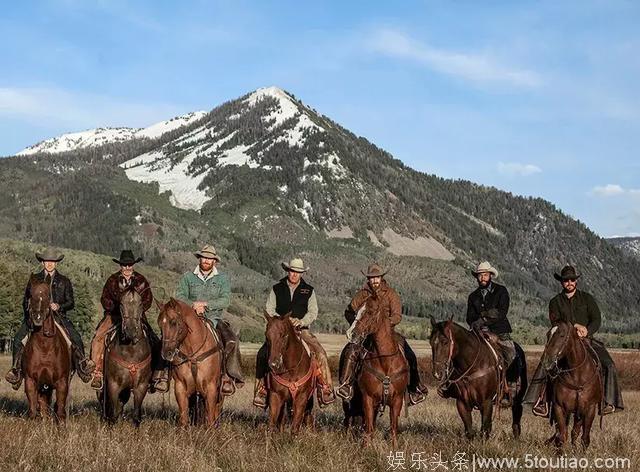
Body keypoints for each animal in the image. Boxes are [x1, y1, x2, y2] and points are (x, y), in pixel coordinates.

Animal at [22, 274, 72, 422]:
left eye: (48, 295)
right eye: (31, 295)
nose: (37, 318)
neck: (44, 347)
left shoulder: (62, 383)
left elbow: (60, 410)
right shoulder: (30, 381)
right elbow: (33, 410)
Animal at [101, 286, 154, 426]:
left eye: (140, 304)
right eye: (121, 304)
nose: (130, 331)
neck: (131, 352)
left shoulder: (141, 387)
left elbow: (136, 416)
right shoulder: (113, 385)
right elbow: (112, 415)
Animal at [156, 298, 224, 428]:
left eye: (174, 322)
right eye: (160, 324)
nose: (166, 353)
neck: (193, 354)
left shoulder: (211, 388)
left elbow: (210, 418)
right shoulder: (180, 387)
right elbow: (184, 418)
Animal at [342, 302, 408, 446]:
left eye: (370, 312)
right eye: (356, 312)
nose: (351, 333)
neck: (385, 361)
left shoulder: (397, 400)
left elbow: (393, 427)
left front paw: (394, 447)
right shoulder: (368, 398)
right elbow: (369, 426)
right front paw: (366, 447)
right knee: (349, 418)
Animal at [540, 320, 600, 450]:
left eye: (562, 335)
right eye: (547, 335)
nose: (547, 362)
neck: (577, 376)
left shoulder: (589, 409)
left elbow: (585, 438)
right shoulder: (559, 407)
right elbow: (562, 436)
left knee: (575, 432)